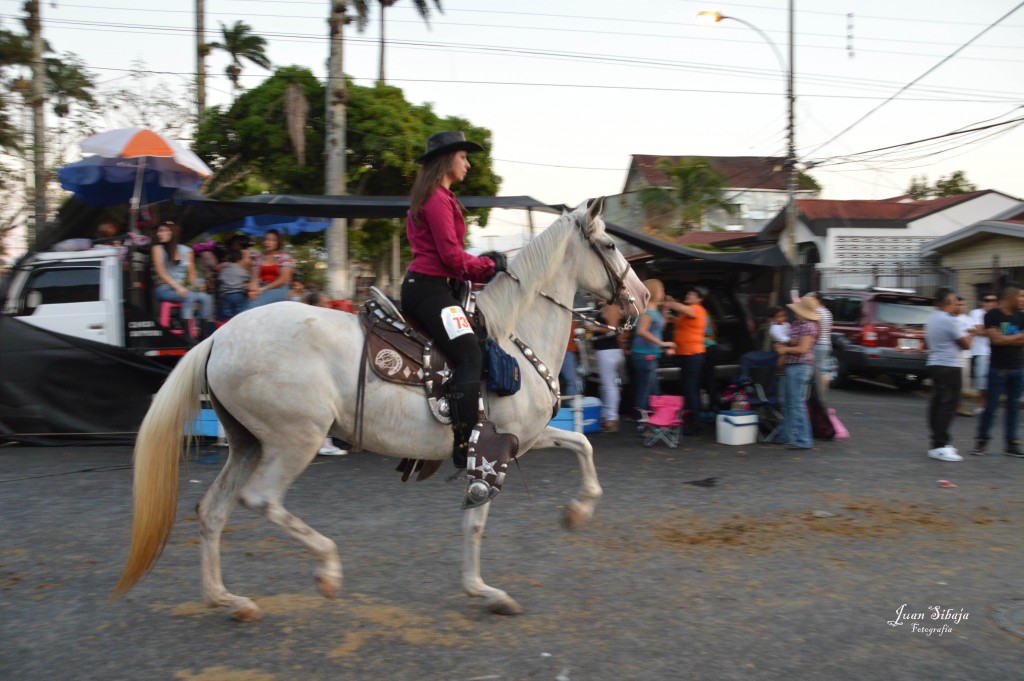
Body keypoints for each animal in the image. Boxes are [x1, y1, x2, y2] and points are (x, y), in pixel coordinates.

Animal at [114, 193, 647, 618]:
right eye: (610, 245)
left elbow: (580, 444)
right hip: (293, 440)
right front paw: (485, 591)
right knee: (260, 499)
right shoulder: (493, 447)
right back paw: (327, 570)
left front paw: (577, 512)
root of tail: (218, 338)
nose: (641, 298)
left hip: (246, 443)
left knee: (212, 511)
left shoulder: (522, 438)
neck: (512, 336)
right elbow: (476, 519)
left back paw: (228, 600)